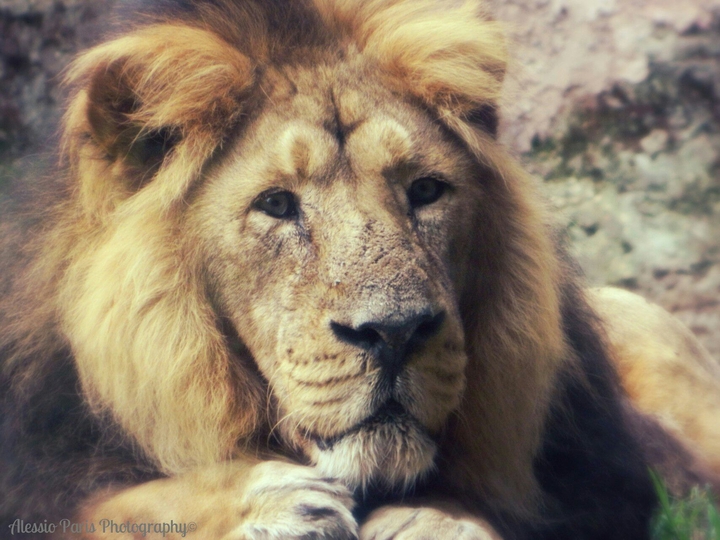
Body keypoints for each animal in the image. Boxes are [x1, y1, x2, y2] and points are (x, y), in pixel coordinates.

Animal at [1, 0, 718, 539]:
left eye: (425, 190)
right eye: (277, 205)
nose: (395, 333)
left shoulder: (601, 481)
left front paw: (433, 523)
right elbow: (102, 509)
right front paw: (266, 504)